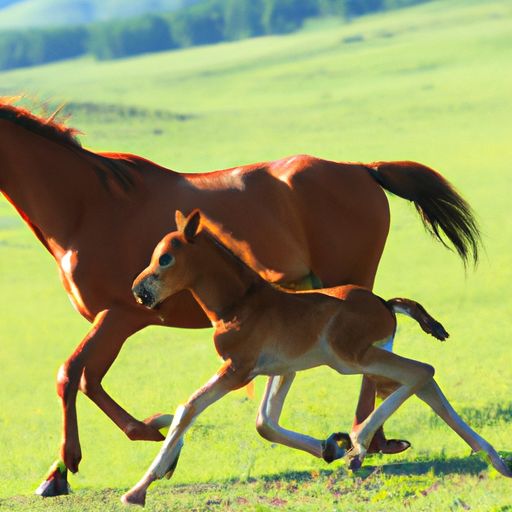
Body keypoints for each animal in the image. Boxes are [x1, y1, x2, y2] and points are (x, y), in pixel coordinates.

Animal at [0, 99, 478, 496]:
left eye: (165, 257)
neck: (86, 207)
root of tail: (362, 168)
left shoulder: (120, 314)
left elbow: (71, 375)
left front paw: (68, 469)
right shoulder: (117, 317)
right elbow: (88, 378)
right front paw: (152, 438)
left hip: (348, 281)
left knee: (371, 354)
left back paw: (366, 439)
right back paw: (371, 439)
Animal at [124, 210, 512, 506]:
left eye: (165, 258)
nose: (139, 291)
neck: (239, 305)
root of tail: (386, 305)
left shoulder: (238, 370)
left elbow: (187, 409)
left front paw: (138, 490)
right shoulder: (282, 370)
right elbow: (265, 423)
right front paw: (329, 448)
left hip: (351, 358)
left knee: (421, 371)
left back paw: (359, 444)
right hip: (368, 358)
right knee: (422, 382)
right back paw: (492, 459)